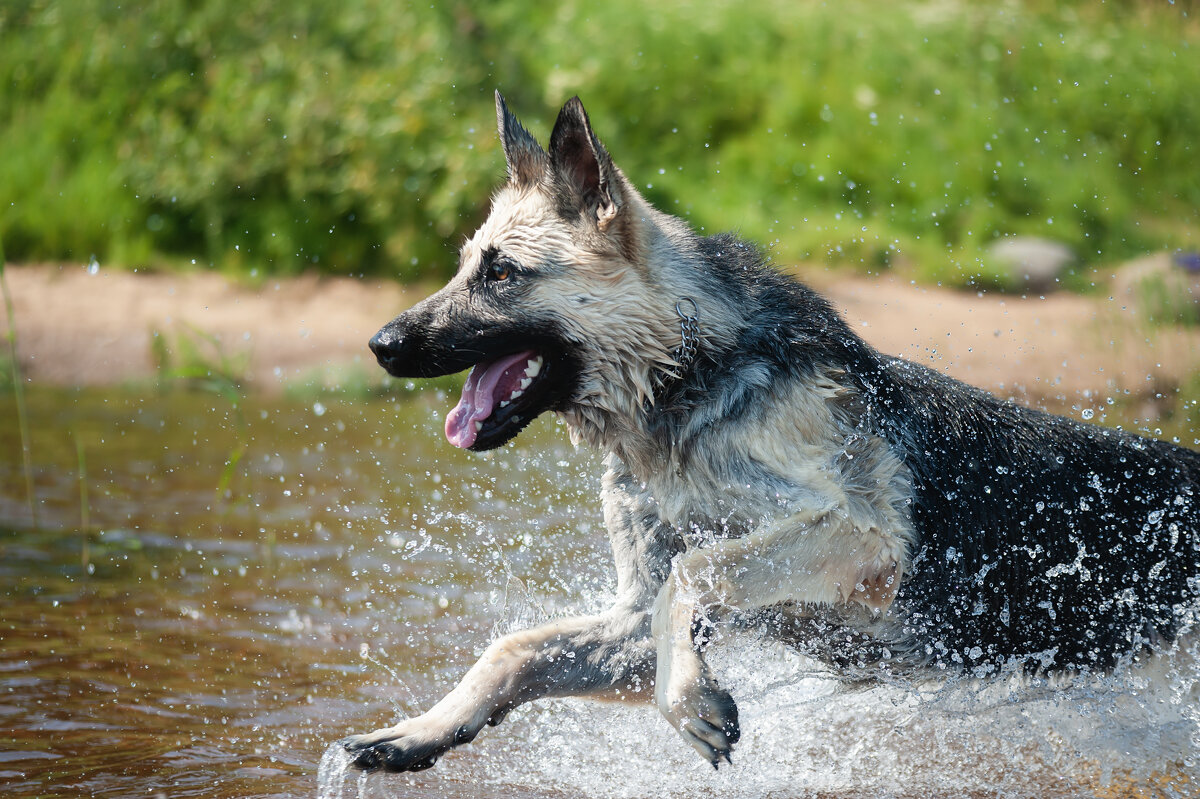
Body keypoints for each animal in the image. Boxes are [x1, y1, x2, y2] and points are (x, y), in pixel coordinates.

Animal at [340, 93, 1200, 772]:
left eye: (501, 275)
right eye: (464, 266)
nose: (380, 343)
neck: (683, 375)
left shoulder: (854, 533)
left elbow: (699, 566)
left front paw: (689, 701)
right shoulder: (634, 620)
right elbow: (515, 648)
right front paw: (422, 729)